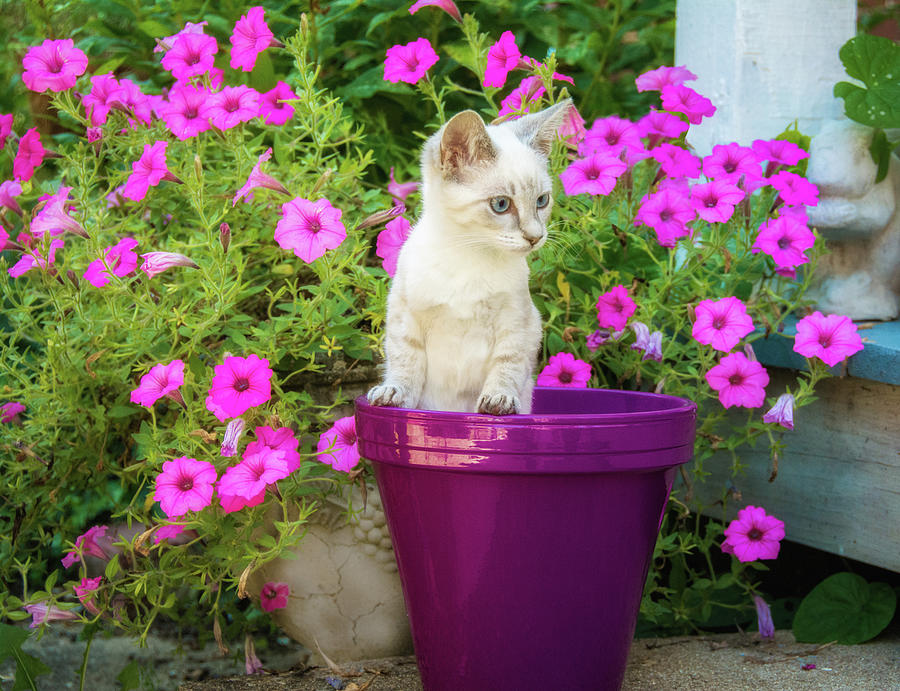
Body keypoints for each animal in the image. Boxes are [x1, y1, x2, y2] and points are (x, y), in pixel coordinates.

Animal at [366, 102, 568, 414]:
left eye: (541, 201)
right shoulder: (405, 317)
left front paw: (498, 400)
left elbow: (506, 365)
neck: (469, 252)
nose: (535, 237)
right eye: (501, 205)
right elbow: (404, 363)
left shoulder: (518, 323)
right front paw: (394, 393)